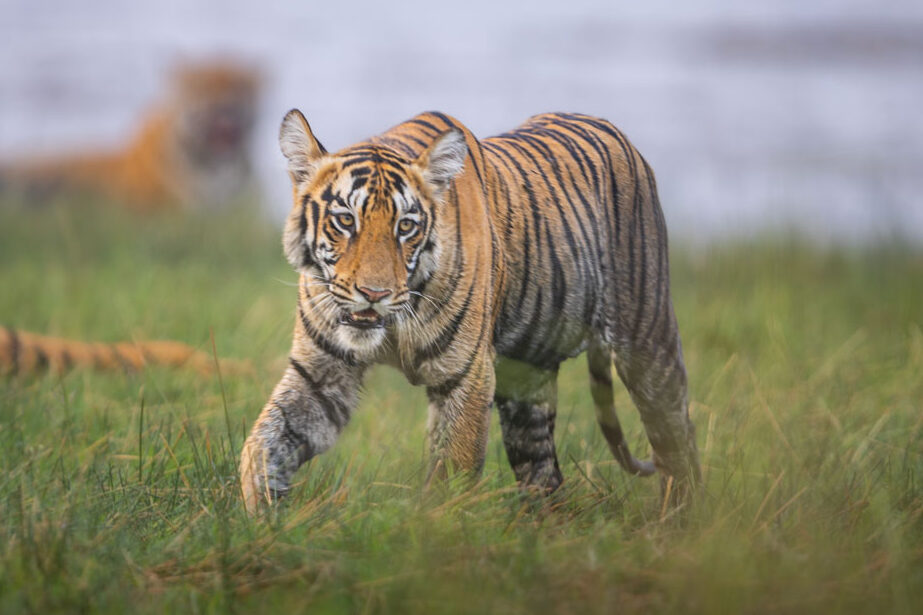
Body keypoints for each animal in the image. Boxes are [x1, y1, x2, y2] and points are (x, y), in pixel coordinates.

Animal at [239, 109, 701, 513]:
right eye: (345, 221)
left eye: (405, 226)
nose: (374, 293)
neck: (392, 326)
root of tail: (611, 128)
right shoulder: (321, 373)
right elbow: (263, 441)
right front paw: (265, 518)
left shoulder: (467, 376)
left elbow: (451, 476)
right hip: (526, 388)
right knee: (544, 474)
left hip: (648, 342)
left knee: (678, 440)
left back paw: (680, 523)